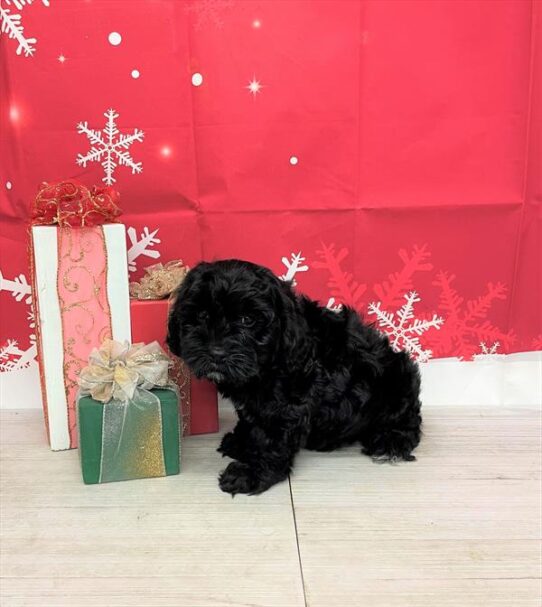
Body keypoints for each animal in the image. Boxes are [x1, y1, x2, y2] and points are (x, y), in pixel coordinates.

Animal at [168, 260, 422, 494]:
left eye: (247, 320)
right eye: (202, 315)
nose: (216, 353)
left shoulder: (288, 404)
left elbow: (271, 439)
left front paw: (250, 473)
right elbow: (250, 420)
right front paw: (241, 441)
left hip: (398, 383)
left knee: (408, 421)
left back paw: (389, 442)